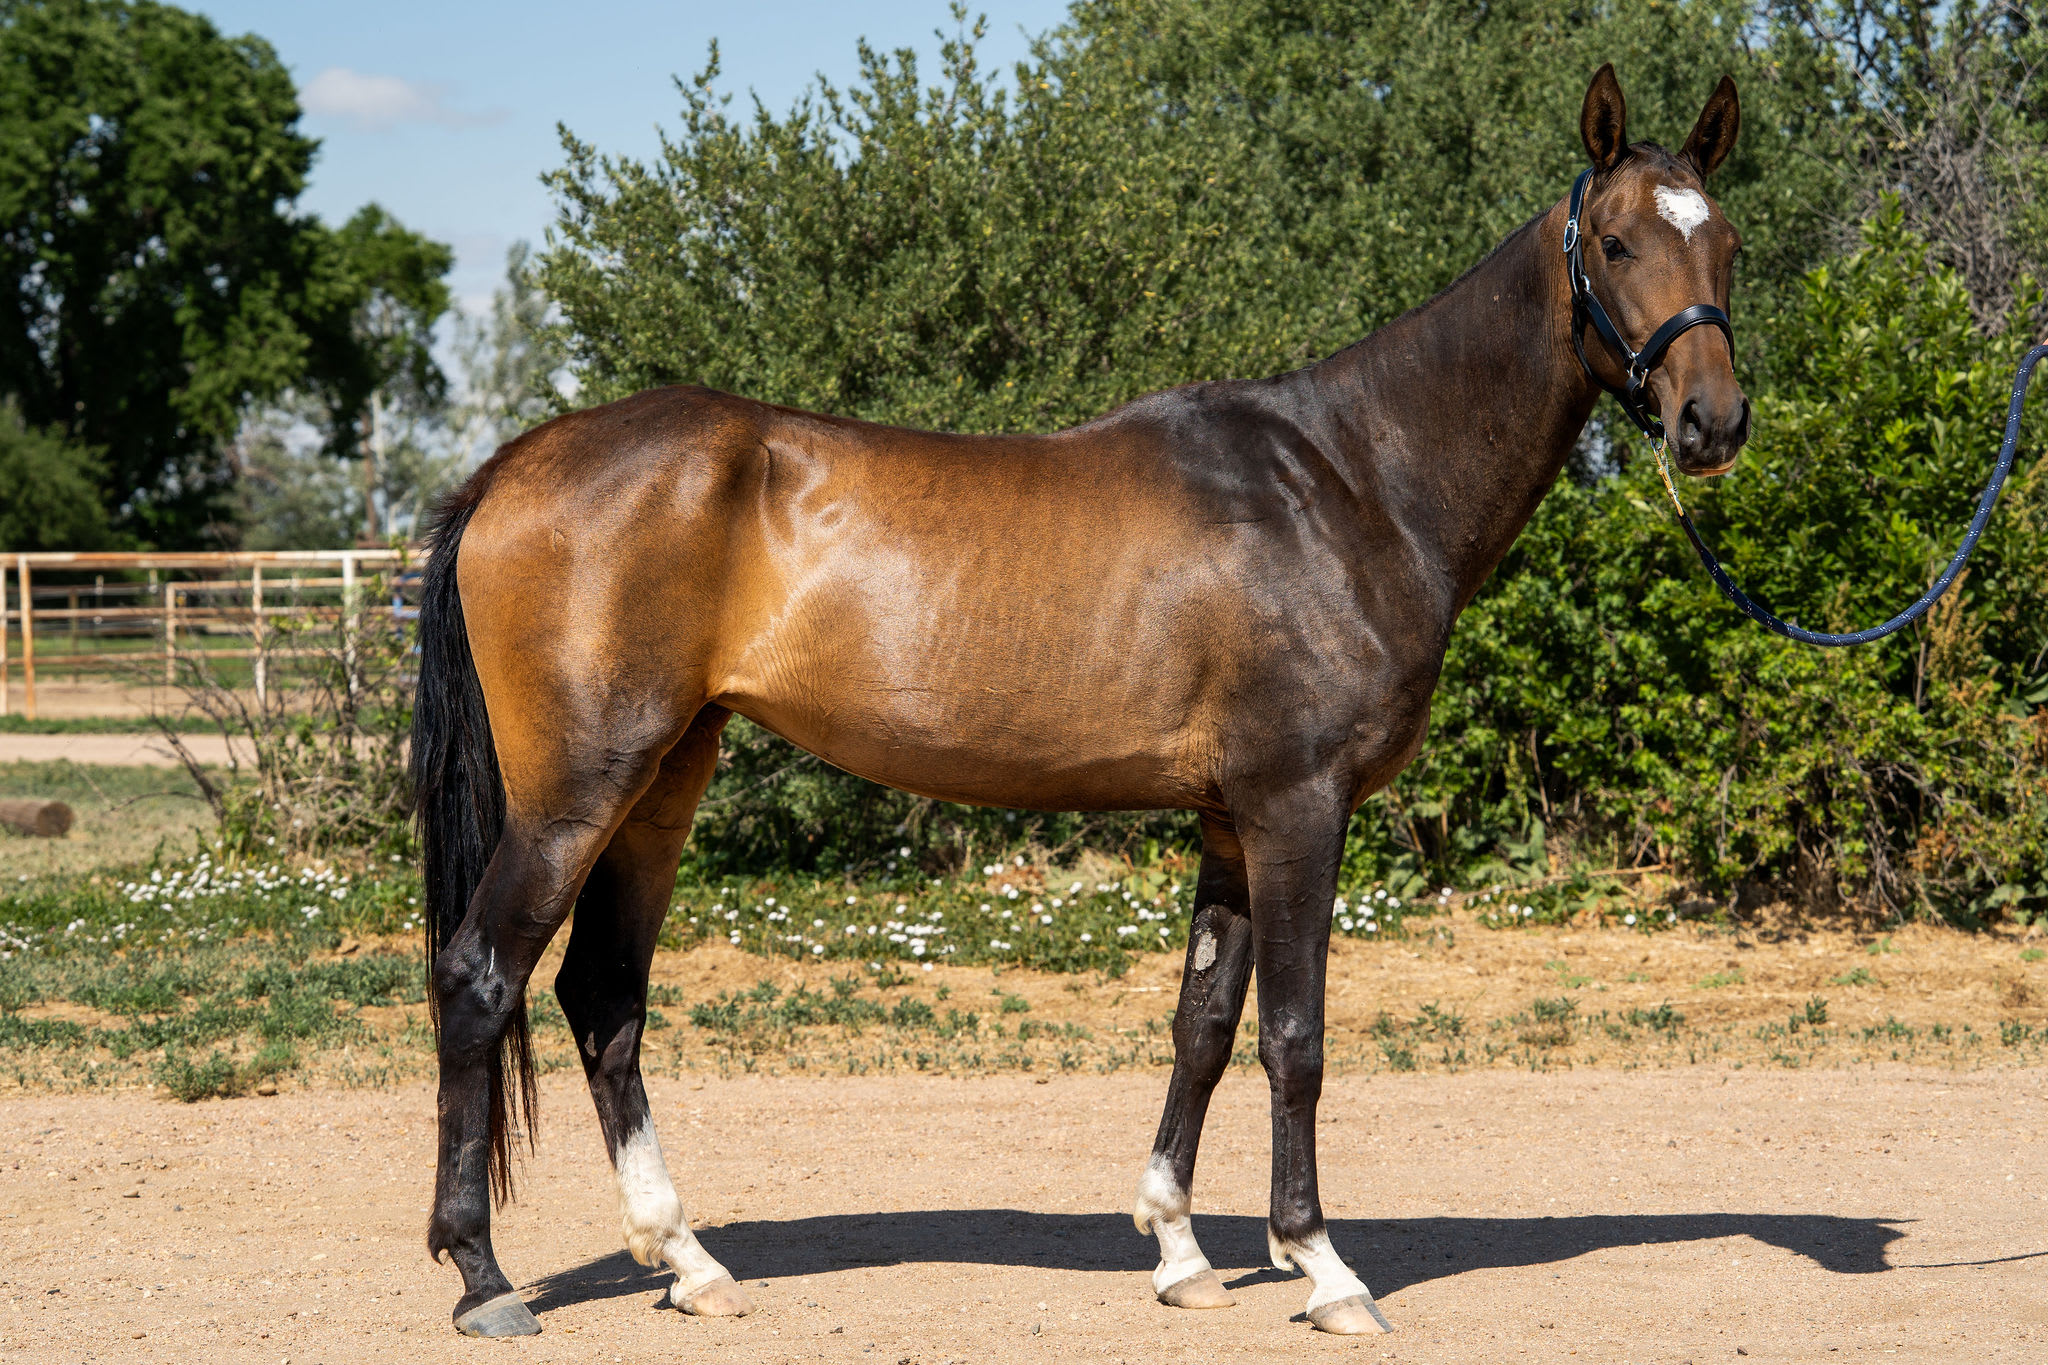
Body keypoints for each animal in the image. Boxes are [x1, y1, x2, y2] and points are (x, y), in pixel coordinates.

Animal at [410, 62, 1748, 1338]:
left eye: (1726, 242)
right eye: (1614, 242)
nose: (1711, 421)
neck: (1350, 478)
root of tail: (513, 467)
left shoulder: (1228, 820)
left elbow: (1203, 1024)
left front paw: (1181, 1253)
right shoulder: (1296, 807)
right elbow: (1293, 1037)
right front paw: (1319, 1265)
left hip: (664, 777)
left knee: (601, 997)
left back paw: (687, 1264)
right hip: (578, 790)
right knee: (479, 975)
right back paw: (483, 1278)